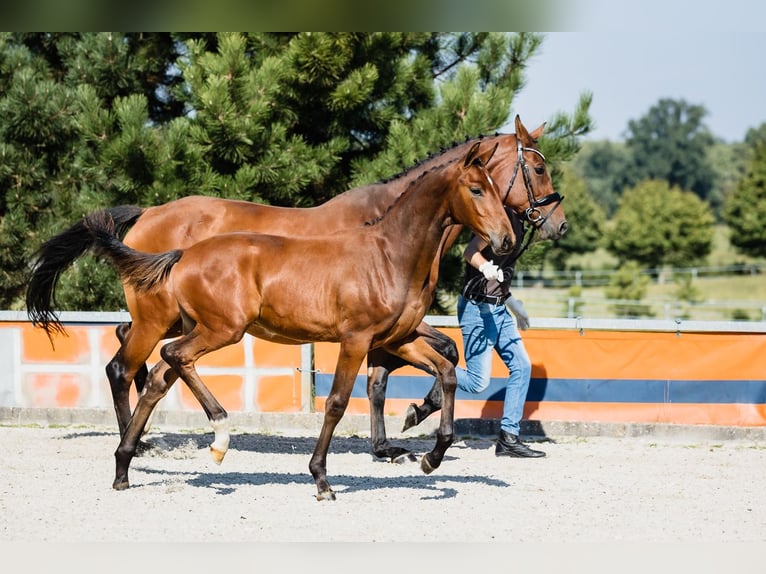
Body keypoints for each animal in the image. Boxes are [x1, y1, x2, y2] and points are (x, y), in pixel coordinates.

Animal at [27, 116, 568, 464]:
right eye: (538, 168)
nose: (557, 224)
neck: (387, 225)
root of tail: (146, 213)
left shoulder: (389, 329)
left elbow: (418, 365)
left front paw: (395, 437)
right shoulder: (363, 330)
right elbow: (388, 376)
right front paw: (410, 422)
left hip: (173, 318)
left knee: (139, 356)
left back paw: (147, 438)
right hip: (163, 317)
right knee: (124, 365)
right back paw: (137, 443)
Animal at [84, 142, 516, 502]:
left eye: (498, 189)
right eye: (476, 190)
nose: (507, 240)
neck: (390, 255)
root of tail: (183, 255)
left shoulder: (399, 338)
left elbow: (447, 372)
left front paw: (431, 456)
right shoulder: (356, 339)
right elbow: (337, 402)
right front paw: (322, 479)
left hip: (198, 327)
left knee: (158, 374)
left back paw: (124, 466)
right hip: (221, 329)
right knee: (164, 358)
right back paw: (216, 436)